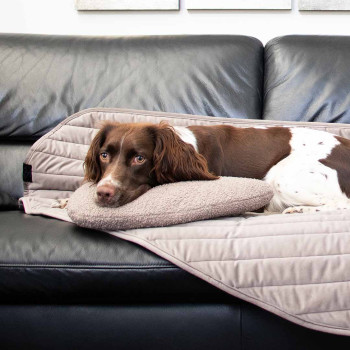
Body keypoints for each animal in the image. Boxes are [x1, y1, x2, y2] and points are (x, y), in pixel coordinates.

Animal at [53, 120, 350, 213]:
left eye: (139, 158)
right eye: (104, 155)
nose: (104, 193)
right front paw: (64, 201)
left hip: (281, 176)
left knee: (341, 205)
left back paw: (297, 210)